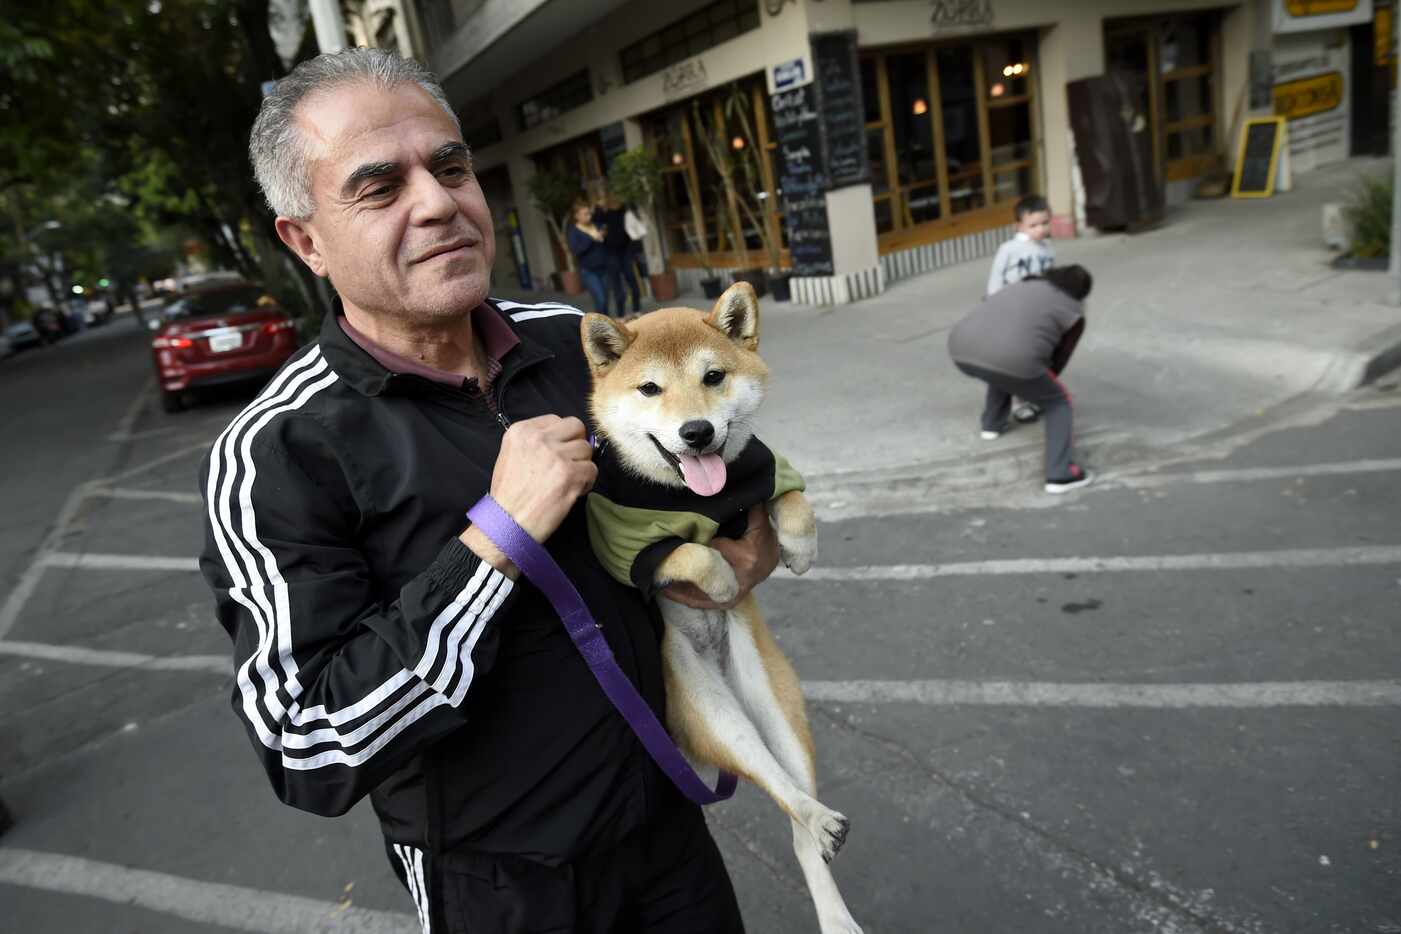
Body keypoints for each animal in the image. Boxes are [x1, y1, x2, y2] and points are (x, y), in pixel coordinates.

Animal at [580, 282, 863, 934]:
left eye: (713, 376)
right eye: (649, 388)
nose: (696, 432)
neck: (696, 495)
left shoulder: (767, 471)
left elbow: (795, 504)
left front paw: (800, 549)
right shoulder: (622, 544)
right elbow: (691, 553)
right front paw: (723, 574)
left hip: (777, 703)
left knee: (796, 813)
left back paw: (831, 884)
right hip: (710, 710)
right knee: (774, 782)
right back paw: (817, 820)